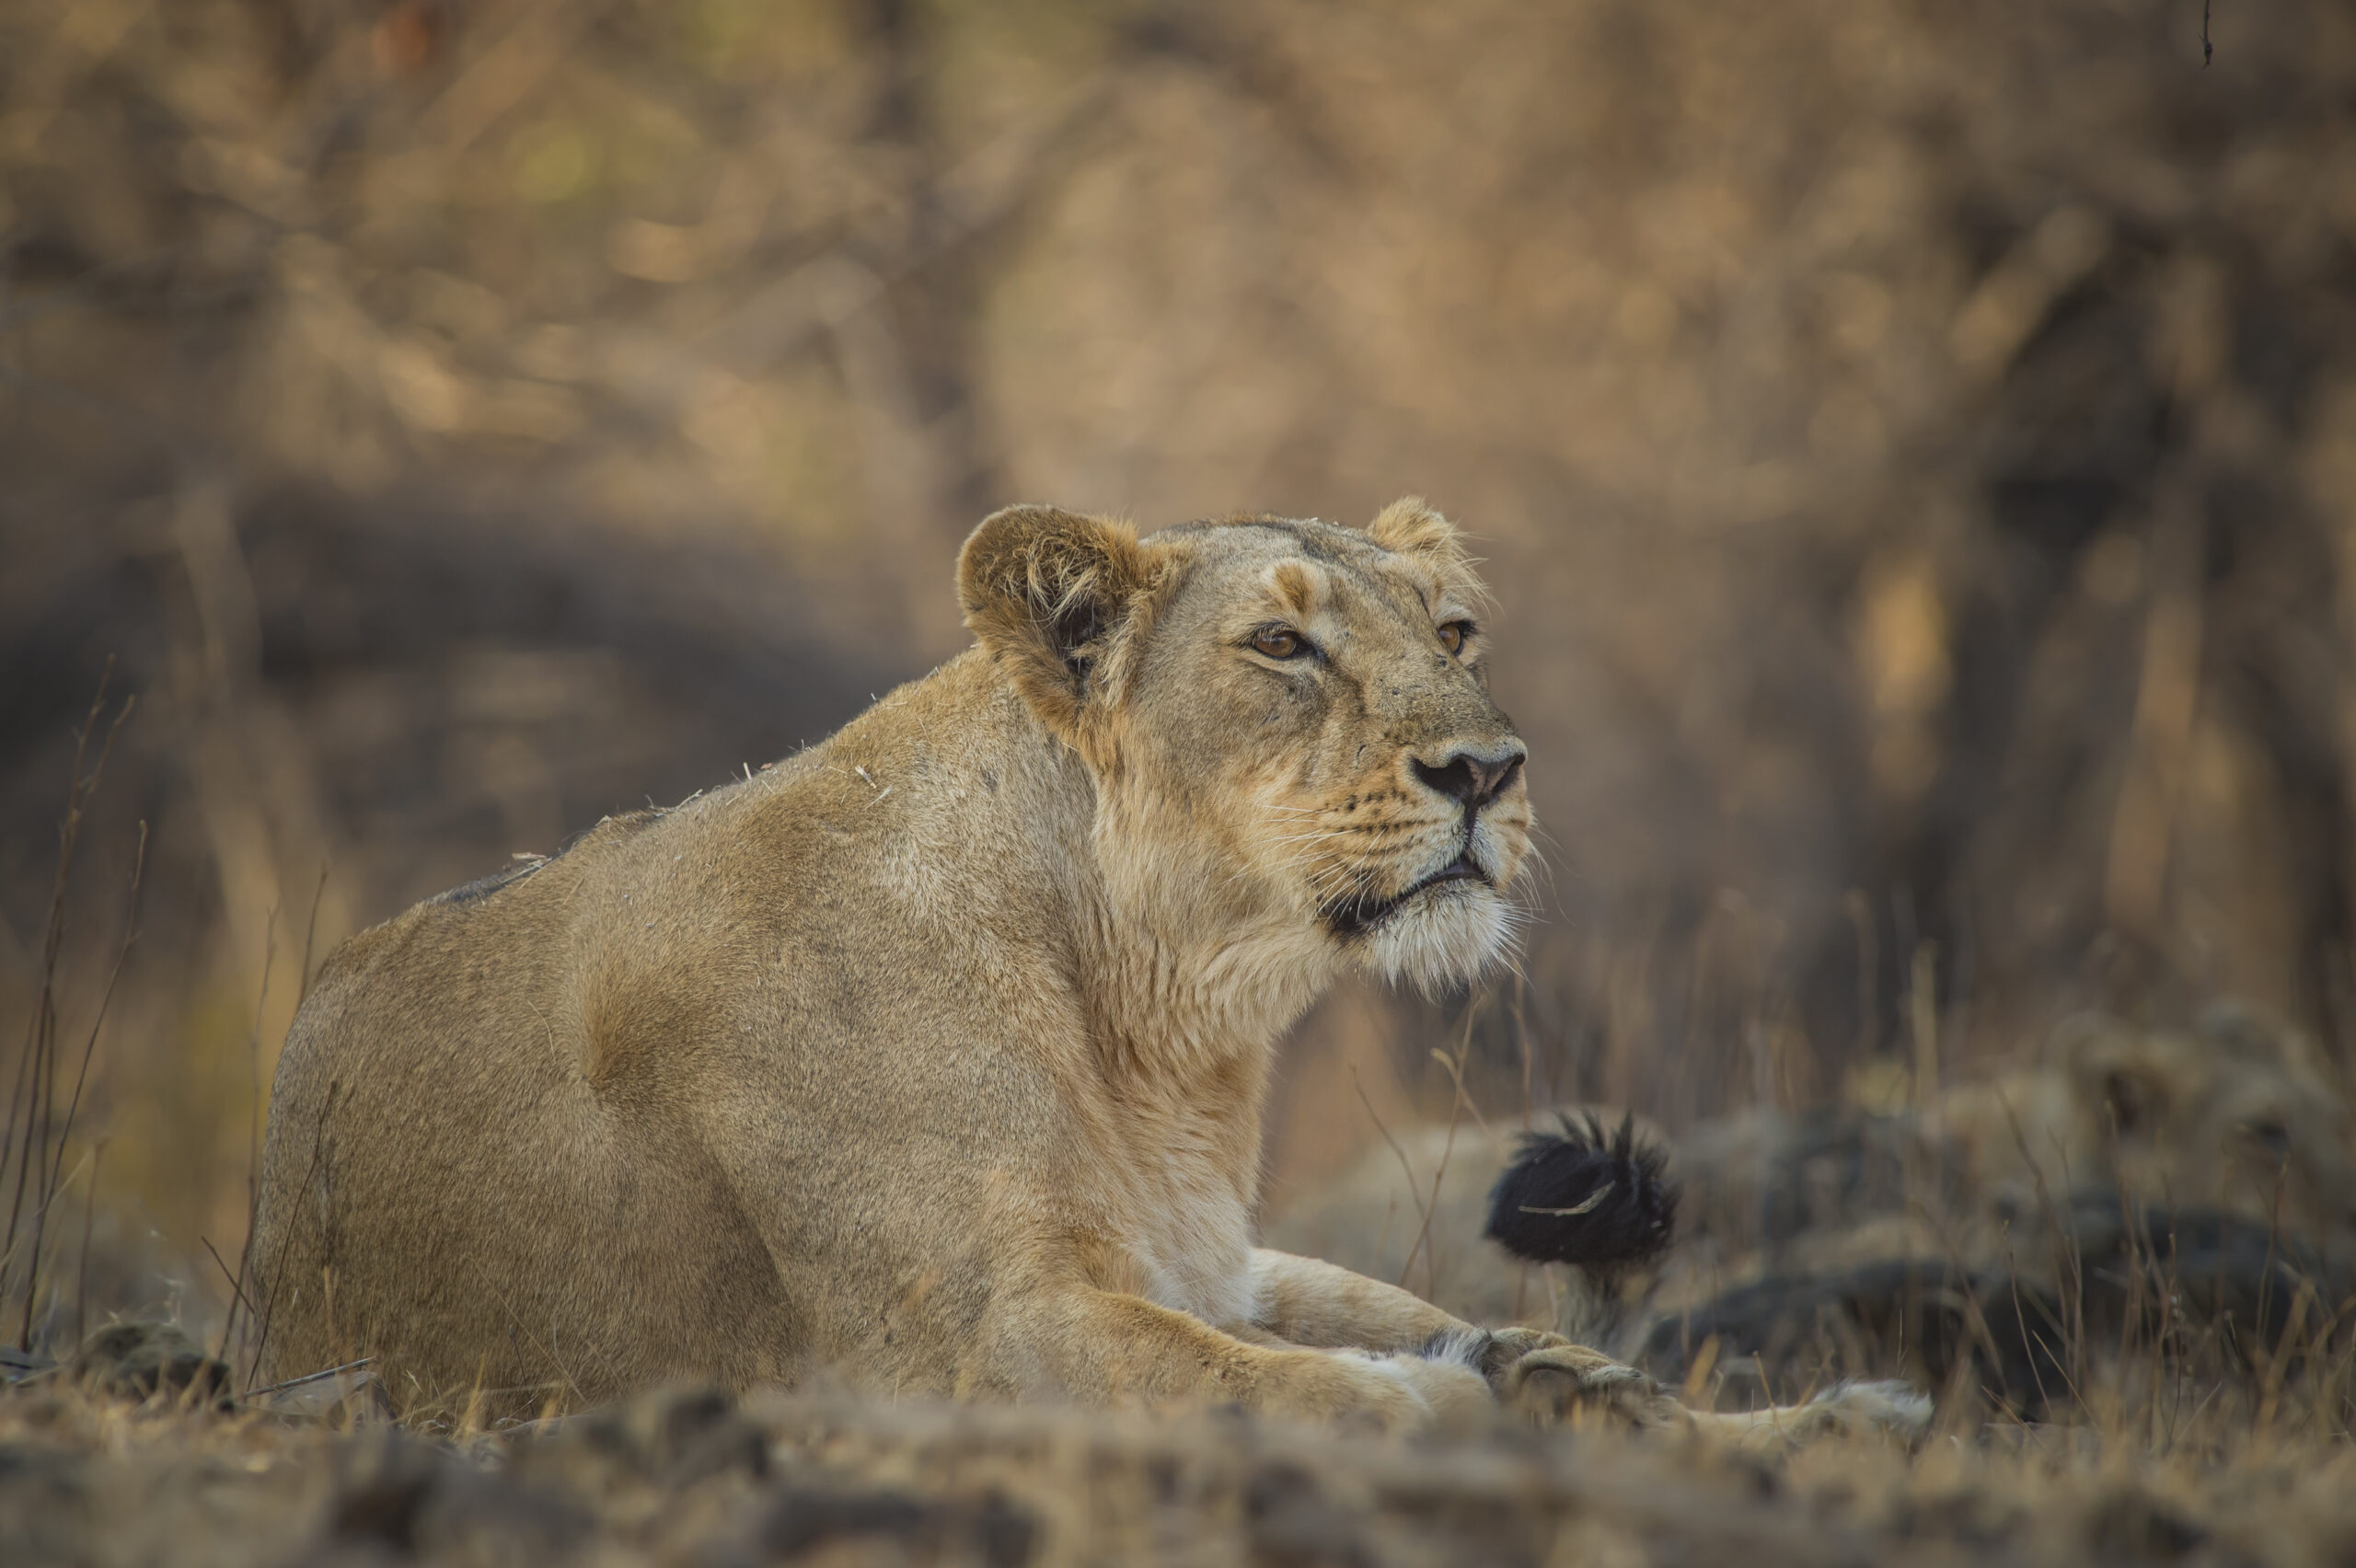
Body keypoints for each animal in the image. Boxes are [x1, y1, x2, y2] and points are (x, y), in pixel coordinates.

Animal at [250, 500, 1919, 1442]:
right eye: (1281, 648)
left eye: (1456, 630)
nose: (1489, 770)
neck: (1164, 1029)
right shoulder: (966, 1344)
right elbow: (1260, 1380)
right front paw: (1452, 1398)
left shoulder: (1210, 1262)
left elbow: (1312, 1345)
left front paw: (1709, 1407)